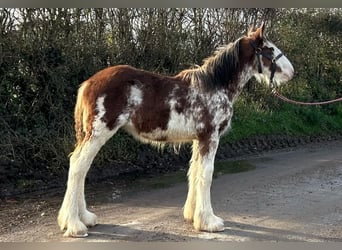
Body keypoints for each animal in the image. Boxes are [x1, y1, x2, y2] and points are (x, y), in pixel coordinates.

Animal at [57, 24, 292, 237]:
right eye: (270, 49)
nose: (291, 72)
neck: (215, 86)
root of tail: (88, 83)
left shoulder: (199, 140)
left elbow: (194, 172)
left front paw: (193, 215)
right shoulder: (210, 137)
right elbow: (206, 175)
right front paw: (209, 222)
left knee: (81, 169)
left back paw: (84, 218)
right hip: (99, 133)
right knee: (78, 167)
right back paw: (75, 225)